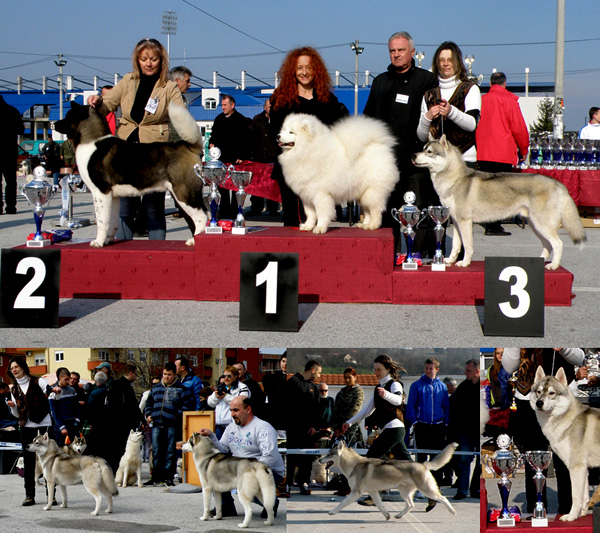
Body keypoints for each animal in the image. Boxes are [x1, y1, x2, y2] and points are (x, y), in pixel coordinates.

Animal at [318, 440, 454, 520]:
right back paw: (398, 515)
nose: (319, 460)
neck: (354, 465)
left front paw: (332, 512)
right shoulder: (373, 492)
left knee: (442, 498)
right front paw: (387, 515)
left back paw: (452, 511)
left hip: (425, 489)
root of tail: (423, 464)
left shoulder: (356, 492)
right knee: (411, 505)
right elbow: (380, 505)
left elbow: (341, 503)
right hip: (404, 491)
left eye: (329, 454)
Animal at [412, 135, 584, 268]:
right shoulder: (455, 221)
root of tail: (558, 183)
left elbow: (467, 245)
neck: (454, 179)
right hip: (536, 225)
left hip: (542, 225)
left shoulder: (465, 221)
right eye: (422, 149)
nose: (413, 155)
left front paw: (465, 263)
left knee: (558, 244)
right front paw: (449, 261)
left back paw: (553, 265)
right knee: (548, 245)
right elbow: (456, 245)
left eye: (429, 152)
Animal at [532, 366, 600, 520]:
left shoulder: (576, 467)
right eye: (538, 392)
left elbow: (576, 496)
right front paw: (581, 514)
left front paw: (571, 516)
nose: (539, 403)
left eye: (552, 393)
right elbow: (584, 496)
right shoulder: (583, 469)